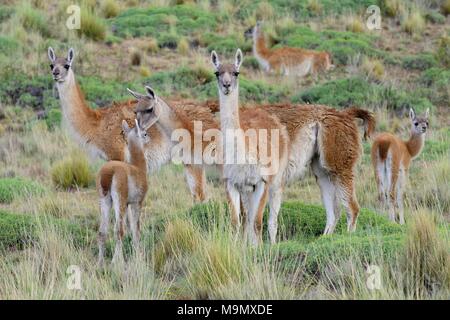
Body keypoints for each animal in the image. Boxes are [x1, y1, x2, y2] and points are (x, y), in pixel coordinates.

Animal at [96, 119, 155, 264]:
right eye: (145, 133)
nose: (149, 138)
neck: (138, 168)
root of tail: (109, 172)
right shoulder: (137, 203)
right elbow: (136, 229)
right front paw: (139, 256)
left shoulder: (128, 203)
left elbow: (130, 227)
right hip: (119, 200)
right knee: (118, 230)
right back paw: (116, 262)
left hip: (105, 200)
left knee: (102, 231)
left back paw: (100, 263)